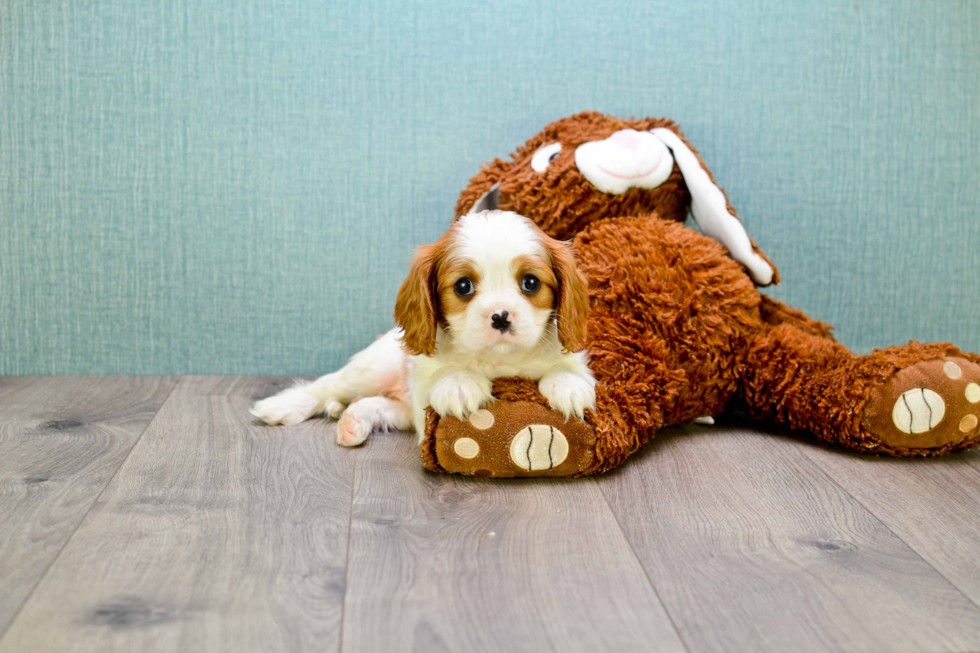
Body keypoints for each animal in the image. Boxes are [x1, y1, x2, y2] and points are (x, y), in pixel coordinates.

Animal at [249, 211, 592, 446]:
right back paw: (281, 406)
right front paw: (459, 384)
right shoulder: (423, 384)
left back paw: (353, 422)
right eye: (463, 286)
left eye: (530, 283)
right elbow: (443, 374)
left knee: (375, 405)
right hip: (374, 368)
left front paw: (568, 385)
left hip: (399, 411)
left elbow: (568, 368)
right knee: (326, 386)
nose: (500, 316)